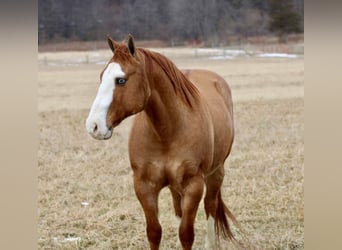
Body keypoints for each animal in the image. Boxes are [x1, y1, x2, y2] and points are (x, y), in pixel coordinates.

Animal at [86, 34, 238, 249]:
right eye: (101, 76)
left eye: (121, 80)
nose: (94, 125)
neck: (168, 131)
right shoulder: (144, 186)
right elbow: (154, 232)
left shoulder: (193, 185)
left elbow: (186, 233)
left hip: (216, 172)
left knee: (210, 205)